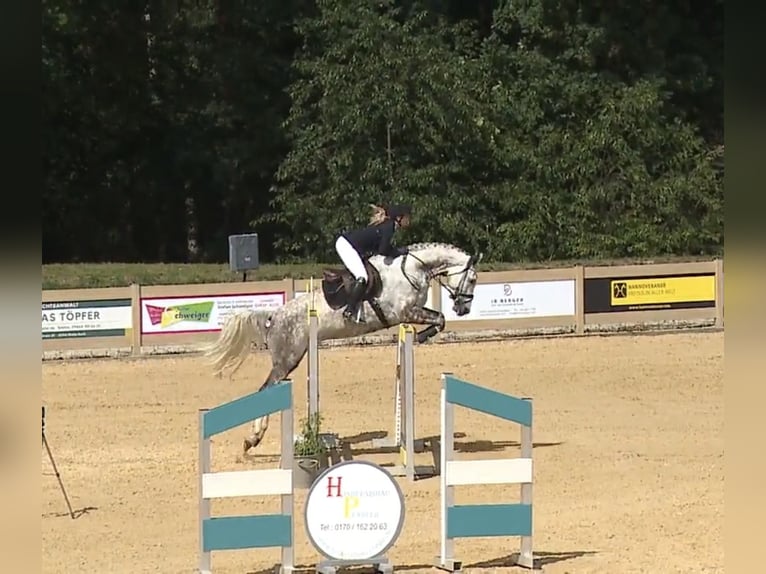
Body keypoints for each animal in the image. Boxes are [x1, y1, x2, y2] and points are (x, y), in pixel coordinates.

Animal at [205, 242, 481, 452]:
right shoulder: (406, 312)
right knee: (265, 389)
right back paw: (253, 438)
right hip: (287, 360)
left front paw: (425, 335)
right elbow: (439, 319)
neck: (413, 269)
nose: (463, 309)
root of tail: (274, 316)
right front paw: (424, 335)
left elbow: (440, 319)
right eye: (472, 278)